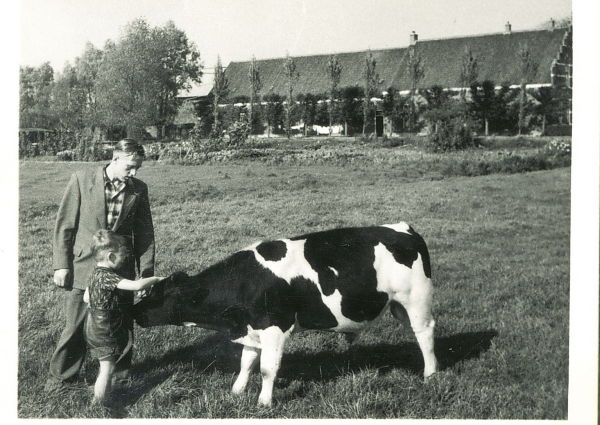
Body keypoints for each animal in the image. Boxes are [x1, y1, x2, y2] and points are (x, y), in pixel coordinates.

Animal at [134, 222, 438, 404]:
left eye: (157, 294)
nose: (134, 312)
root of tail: (403, 228)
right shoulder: (252, 328)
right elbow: (246, 362)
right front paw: (237, 391)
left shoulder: (275, 327)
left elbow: (268, 368)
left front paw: (263, 402)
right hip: (398, 305)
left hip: (415, 299)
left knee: (425, 333)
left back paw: (430, 374)